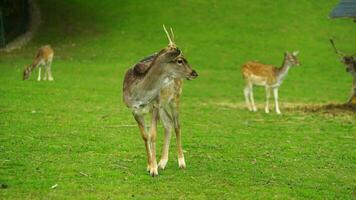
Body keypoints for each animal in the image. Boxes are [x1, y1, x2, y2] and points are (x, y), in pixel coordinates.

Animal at [123, 25, 199, 177]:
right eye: (180, 60)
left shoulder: (154, 106)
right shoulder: (134, 110)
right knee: (168, 123)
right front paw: (150, 165)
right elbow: (145, 136)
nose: (194, 73)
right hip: (163, 104)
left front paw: (153, 170)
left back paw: (181, 162)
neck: (140, 95)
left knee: (177, 124)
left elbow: (153, 135)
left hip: (175, 97)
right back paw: (162, 162)